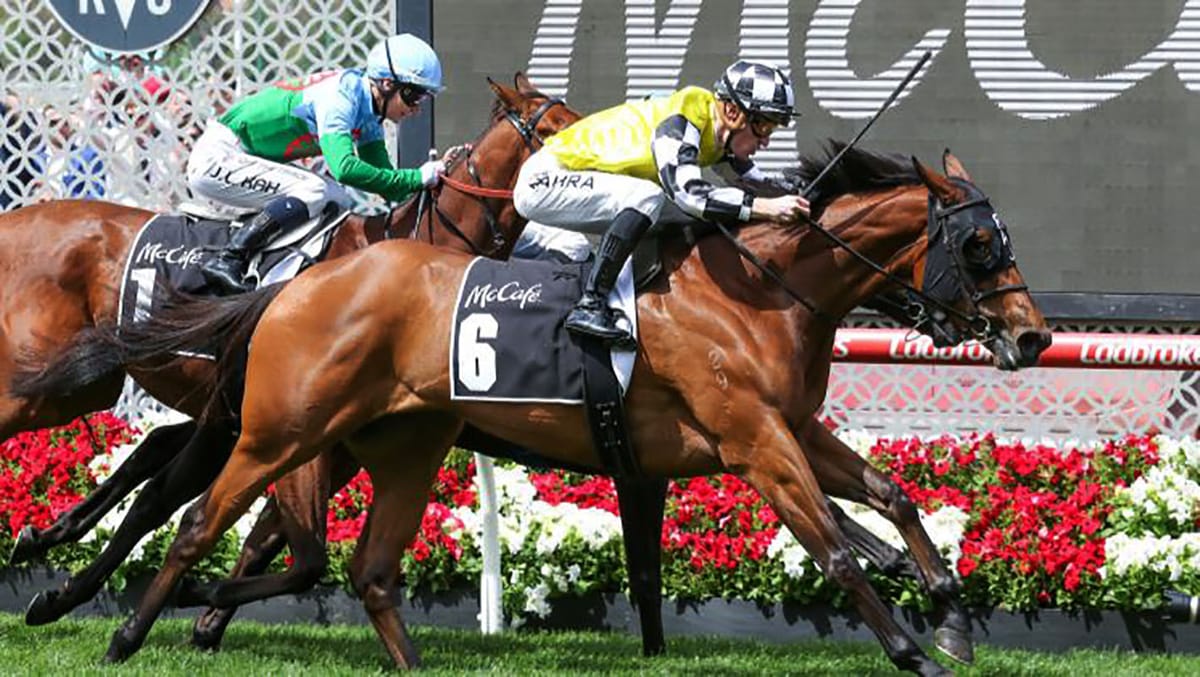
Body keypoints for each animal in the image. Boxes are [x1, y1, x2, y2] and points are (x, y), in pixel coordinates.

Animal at [52, 144, 1051, 673]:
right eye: (979, 243)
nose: (1034, 336)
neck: (757, 291)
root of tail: (299, 279)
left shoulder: (791, 427)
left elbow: (893, 495)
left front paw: (952, 612)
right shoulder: (753, 439)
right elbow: (836, 547)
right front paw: (911, 644)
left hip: (384, 440)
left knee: (328, 554)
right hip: (285, 428)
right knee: (203, 519)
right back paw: (121, 622)